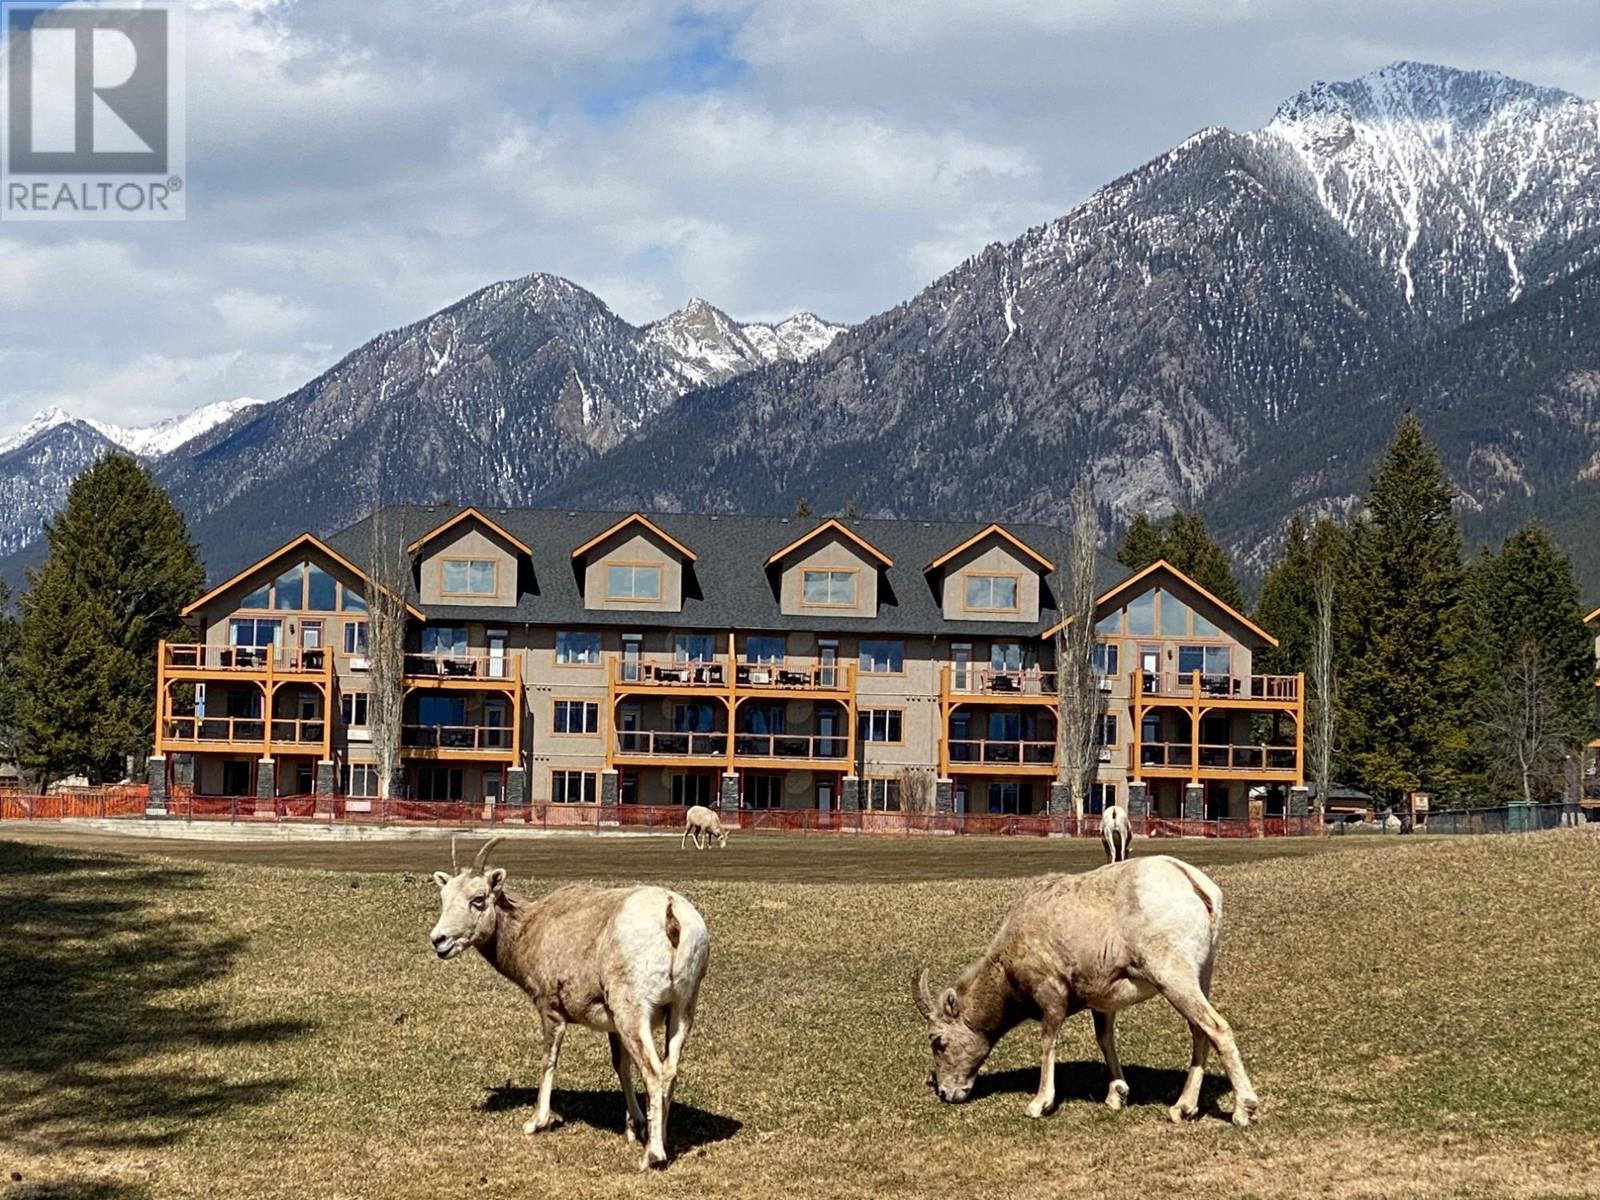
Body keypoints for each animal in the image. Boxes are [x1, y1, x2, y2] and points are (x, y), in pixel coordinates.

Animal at [428, 838, 710, 1171]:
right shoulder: (612, 1026)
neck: (531, 929)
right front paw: (634, 1127)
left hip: (632, 1012)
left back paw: (652, 1157)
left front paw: (535, 1123)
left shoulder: (551, 1010)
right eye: (444, 897)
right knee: (670, 1071)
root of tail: (670, 912)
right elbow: (621, 1066)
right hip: (682, 1009)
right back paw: (661, 1140)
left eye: (478, 899)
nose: (439, 940)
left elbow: (549, 1060)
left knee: (654, 1072)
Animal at [915, 857, 1260, 1126]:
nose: (947, 1093)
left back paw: (1243, 1110)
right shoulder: (1102, 1002)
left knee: (1216, 1028)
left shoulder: (1050, 993)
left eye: (938, 1041)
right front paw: (1117, 1096)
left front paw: (1039, 1104)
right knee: (1199, 1030)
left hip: (1173, 977)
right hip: (1200, 976)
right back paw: (1183, 1108)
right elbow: (1104, 1039)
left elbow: (1048, 1041)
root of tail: (1195, 886)